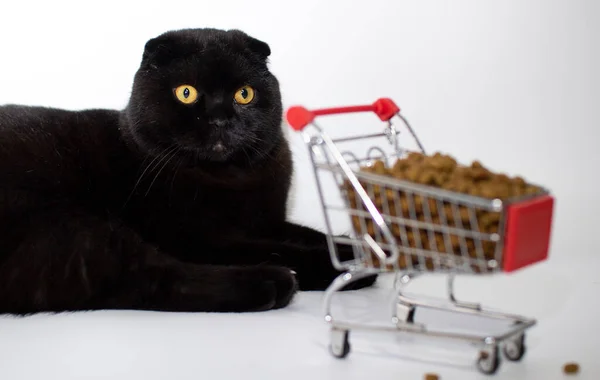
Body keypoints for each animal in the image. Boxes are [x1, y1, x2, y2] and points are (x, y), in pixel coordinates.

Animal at [0, 27, 376, 314]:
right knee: (150, 279)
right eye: (186, 93)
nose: (220, 119)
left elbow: (312, 235)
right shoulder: (195, 236)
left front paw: (360, 248)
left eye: (244, 94)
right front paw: (349, 264)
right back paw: (274, 282)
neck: (232, 180)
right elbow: (282, 247)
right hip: (69, 229)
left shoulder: (267, 220)